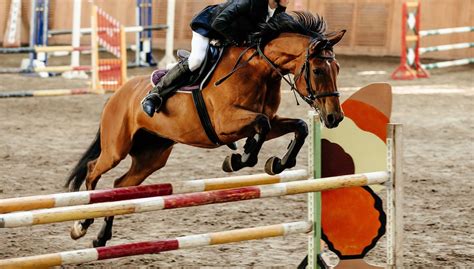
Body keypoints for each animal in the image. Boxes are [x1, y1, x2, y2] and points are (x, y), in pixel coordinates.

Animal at [65, 12, 344, 247]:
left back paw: (101, 236)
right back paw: (82, 224)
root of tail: (119, 92)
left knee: (119, 185)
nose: (334, 117)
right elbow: (261, 125)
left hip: (151, 156)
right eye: (318, 70)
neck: (259, 70)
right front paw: (240, 158)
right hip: (117, 148)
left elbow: (299, 126)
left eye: (337, 68)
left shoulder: (268, 119)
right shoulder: (225, 123)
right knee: (93, 170)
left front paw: (276, 163)